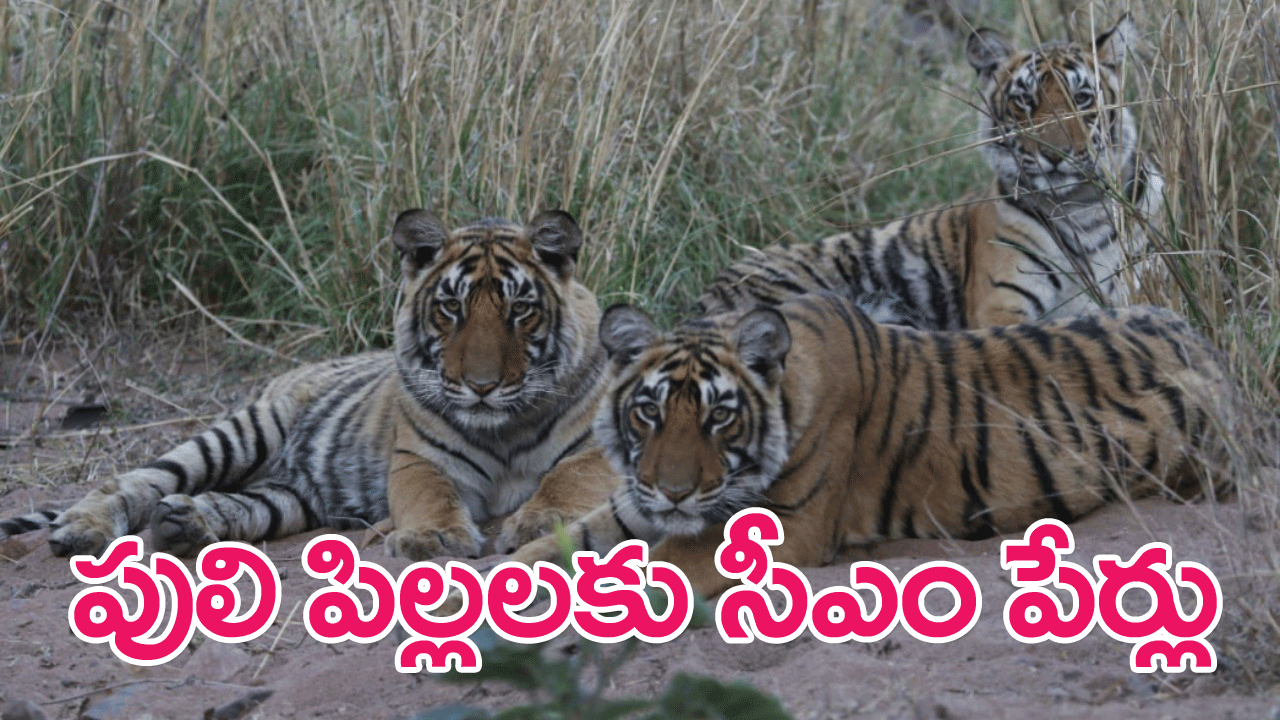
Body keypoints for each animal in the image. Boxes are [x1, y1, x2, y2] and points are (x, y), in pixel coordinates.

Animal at [0, 210, 620, 559]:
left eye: (520, 310)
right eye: (451, 309)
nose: (482, 386)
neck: (501, 425)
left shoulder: (596, 449)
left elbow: (564, 480)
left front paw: (538, 520)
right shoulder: (420, 459)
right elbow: (430, 495)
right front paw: (433, 539)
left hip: (289, 495)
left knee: (237, 505)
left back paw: (185, 523)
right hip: (245, 430)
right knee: (132, 480)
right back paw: (82, 529)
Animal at [507, 291, 1231, 598]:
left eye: (720, 418)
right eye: (650, 412)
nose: (675, 491)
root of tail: (1203, 341)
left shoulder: (784, 527)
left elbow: (652, 567)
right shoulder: (634, 501)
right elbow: (559, 544)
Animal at [697, 14, 1164, 330]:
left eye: (1082, 98)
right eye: (1025, 102)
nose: (1055, 154)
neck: (1082, 208)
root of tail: (707, 292)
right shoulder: (1000, 304)